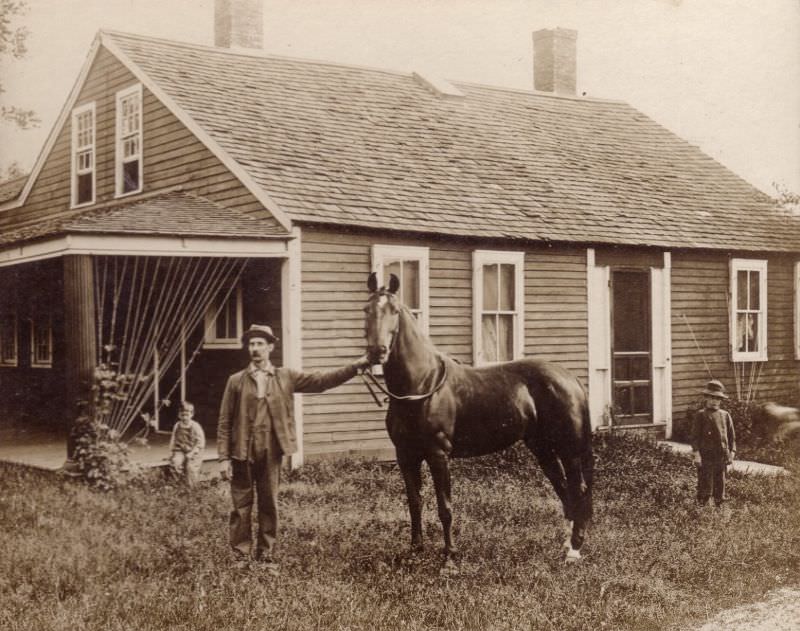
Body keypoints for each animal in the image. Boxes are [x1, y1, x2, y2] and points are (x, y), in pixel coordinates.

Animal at [362, 272, 592, 572]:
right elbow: (414, 503)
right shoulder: (406, 455)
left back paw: (574, 550)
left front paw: (449, 559)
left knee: (578, 490)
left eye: (395, 311)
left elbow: (445, 508)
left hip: (569, 449)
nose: (377, 351)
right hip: (543, 449)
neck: (422, 384)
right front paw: (415, 552)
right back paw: (566, 545)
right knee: (564, 491)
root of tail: (570, 377)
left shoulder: (438, 455)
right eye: (366, 310)